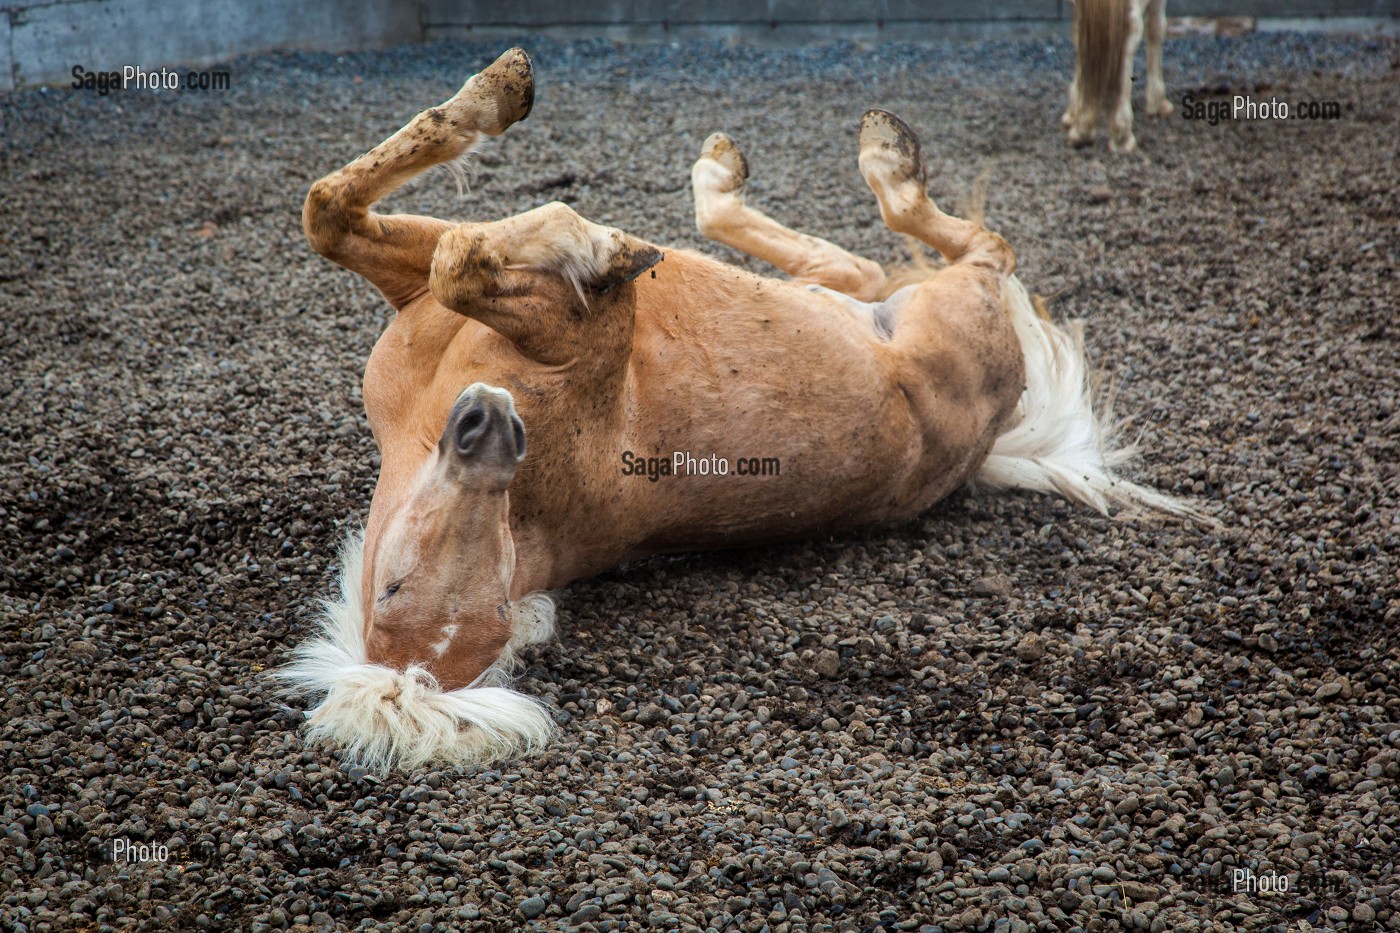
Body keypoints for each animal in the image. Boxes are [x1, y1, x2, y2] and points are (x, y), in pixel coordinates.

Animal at [278, 47, 1198, 767]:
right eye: (398, 590)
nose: (492, 428)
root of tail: (992, 438)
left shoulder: (424, 284)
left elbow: (343, 213)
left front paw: (509, 112)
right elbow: (445, 253)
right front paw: (593, 242)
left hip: (885, 301)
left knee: (895, 257)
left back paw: (762, 167)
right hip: (944, 311)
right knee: (972, 247)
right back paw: (863, 160)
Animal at [1058, 0, 1170, 150]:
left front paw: (1072, 112)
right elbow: (1156, 27)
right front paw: (1158, 101)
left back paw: (1082, 129)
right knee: (1131, 28)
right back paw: (1122, 135)